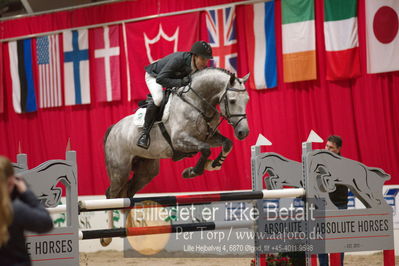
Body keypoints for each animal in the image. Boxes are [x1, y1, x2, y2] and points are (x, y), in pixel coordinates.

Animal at [101, 67, 250, 246]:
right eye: (233, 101)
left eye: (247, 100)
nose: (243, 132)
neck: (197, 102)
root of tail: (113, 128)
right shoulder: (180, 140)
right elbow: (205, 149)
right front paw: (192, 171)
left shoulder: (208, 136)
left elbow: (227, 143)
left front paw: (214, 164)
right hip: (120, 171)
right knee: (111, 195)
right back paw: (107, 238)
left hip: (146, 171)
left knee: (127, 195)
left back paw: (134, 230)